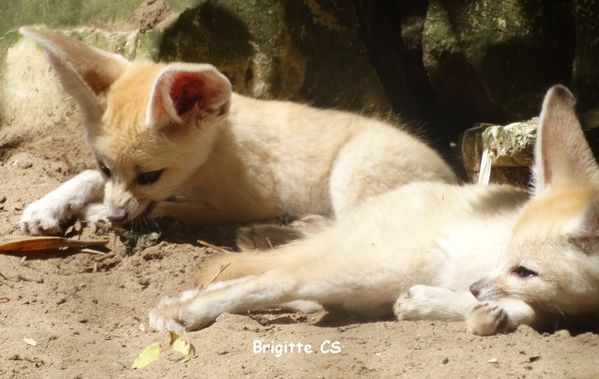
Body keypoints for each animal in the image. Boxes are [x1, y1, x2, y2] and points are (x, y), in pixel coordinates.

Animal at [18, 27, 458, 246]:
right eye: (106, 167)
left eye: (150, 176)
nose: (115, 216)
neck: (212, 152)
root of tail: (454, 179)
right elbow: (85, 178)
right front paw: (49, 205)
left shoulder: (232, 203)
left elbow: (164, 209)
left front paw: (93, 213)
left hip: (352, 174)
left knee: (359, 235)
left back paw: (271, 233)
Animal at [150, 85, 599, 336]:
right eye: (511, 257)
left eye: (525, 270)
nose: (473, 288)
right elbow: (525, 309)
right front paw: (446, 306)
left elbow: (527, 310)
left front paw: (451, 309)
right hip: (370, 271)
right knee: (275, 280)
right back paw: (184, 311)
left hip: (357, 281)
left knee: (276, 282)